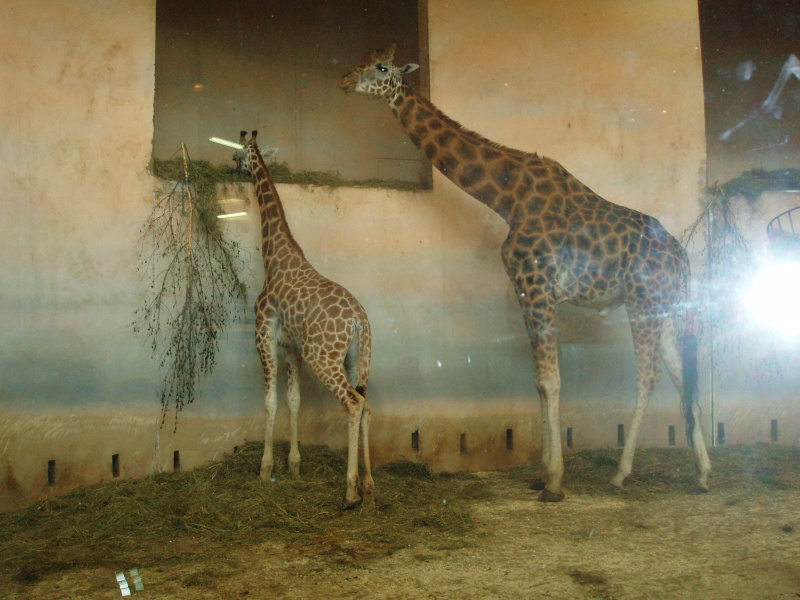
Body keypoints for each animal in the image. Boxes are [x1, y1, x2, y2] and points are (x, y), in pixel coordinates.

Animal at [238, 130, 374, 509]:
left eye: (238, 153)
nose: (233, 167)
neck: (274, 257)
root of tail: (358, 320)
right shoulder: (293, 348)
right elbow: (294, 401)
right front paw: (295, 465)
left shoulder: (264, 335)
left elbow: (270, 401)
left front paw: (265, 468)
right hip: (358, 359)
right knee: (367, 404)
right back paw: (370, 484)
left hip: (322, 357)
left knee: (353, 403)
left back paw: (350, 490)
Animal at [340, 45, 711, 501]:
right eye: (361, 61)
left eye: (382, 67)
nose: (344, 80)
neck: (507, 196)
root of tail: (683, 260)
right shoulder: (527, 290)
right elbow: (539, 382)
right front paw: (542, 472)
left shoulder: (535, 286)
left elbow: (550, 381)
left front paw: (553, 480)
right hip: (666, 304)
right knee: (681, 372)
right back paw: (702, 473)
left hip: (642, 300)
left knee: (650, 374)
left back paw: (621, 473)